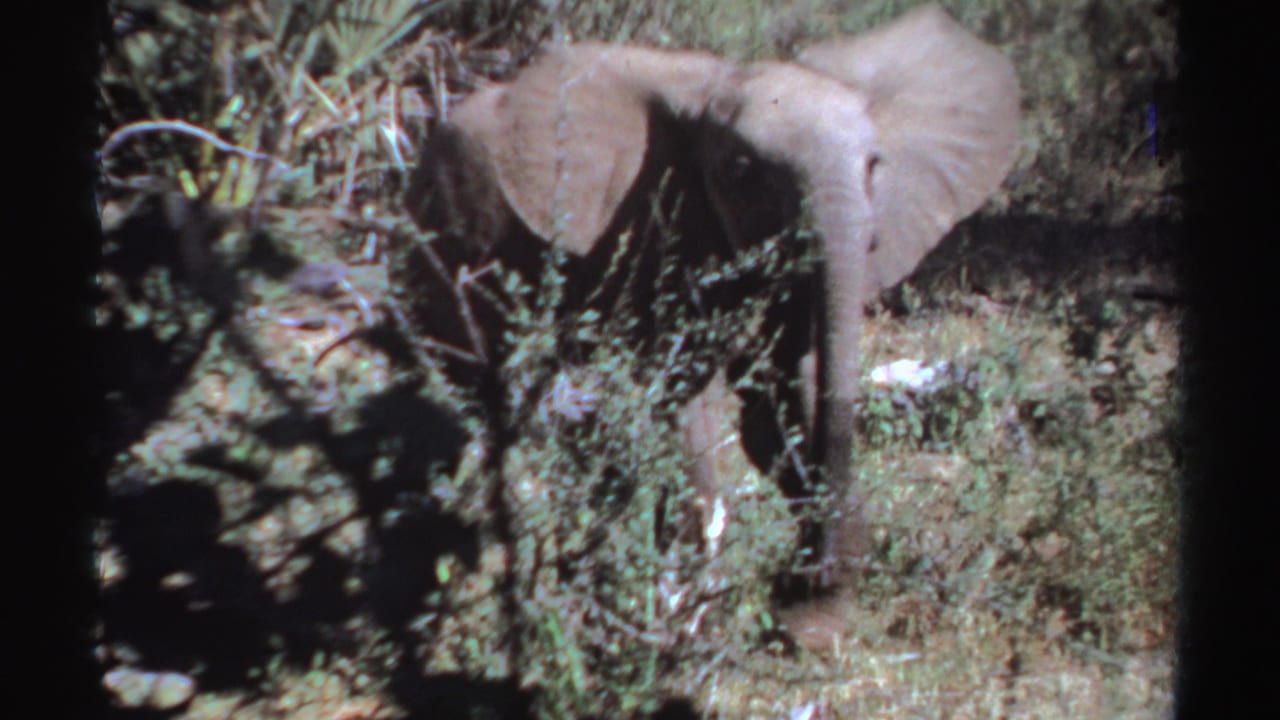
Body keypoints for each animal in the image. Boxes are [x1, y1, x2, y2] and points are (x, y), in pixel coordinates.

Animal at [401, 3, 1019, 597]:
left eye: (875, 165)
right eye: (742, 172)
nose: (819, 580)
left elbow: (781, 395)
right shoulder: (654, 239)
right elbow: (687, 400)